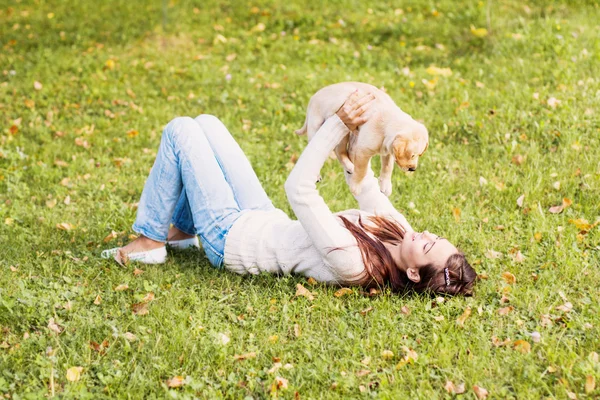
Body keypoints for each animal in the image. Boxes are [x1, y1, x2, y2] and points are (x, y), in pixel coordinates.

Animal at [294, 80, 426, 196]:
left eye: (418, 155)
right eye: (412, 155)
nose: (413, 169)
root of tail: (312, 99)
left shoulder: (388, 149)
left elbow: (388, 166)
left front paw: (386, 185)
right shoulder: (363, 151)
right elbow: (362, 170)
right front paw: (356, 187)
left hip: (345, 131)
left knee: (339, 151)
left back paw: (349, 166)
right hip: (317, 126)